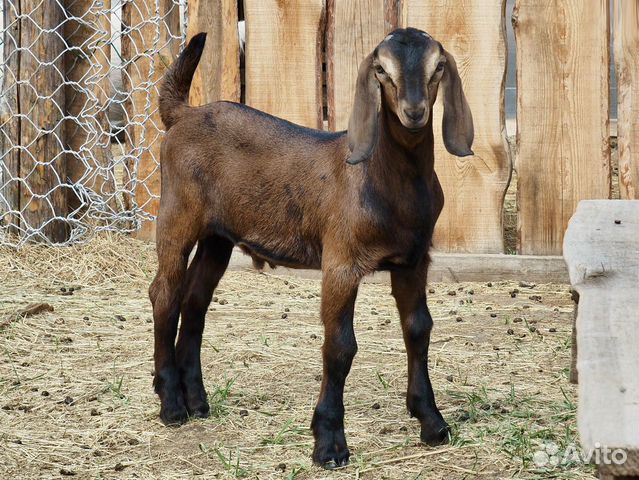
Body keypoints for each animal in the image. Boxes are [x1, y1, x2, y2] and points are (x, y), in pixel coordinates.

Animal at [150, 27, 473, 469]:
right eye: (381, 70)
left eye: (437, 66)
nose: (414, 111)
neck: (382, 181)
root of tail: (184, 114)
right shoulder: (341, 261)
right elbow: (340, 346)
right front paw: (329, 442)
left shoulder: (413, 260)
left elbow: (418, 329)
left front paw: (432, 422)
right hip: (177, 213)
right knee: (164, 294)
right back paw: (171, 406)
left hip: (219, 236)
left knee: (194, 300)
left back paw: (197, 401)